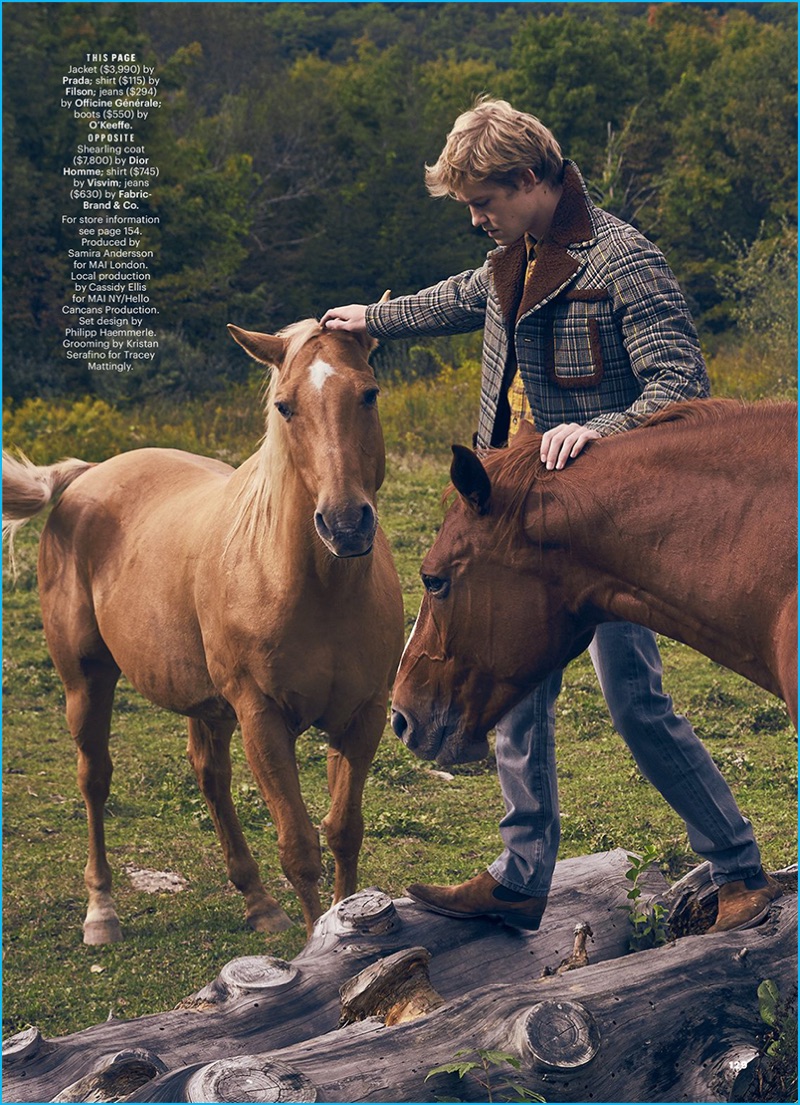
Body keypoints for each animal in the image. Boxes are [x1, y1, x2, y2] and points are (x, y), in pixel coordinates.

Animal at [4, 322, 406, 941]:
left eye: (369, 393)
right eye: (284, 406)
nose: (344, 524)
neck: (315, 586)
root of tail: (88, 475)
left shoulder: (362, 715)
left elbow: (343, 832)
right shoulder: (262, 716)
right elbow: (299, 847)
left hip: (207, 703)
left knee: (209, 775)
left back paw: (259, 903)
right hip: (85, 683)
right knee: (94, 779)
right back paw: (102, 911)